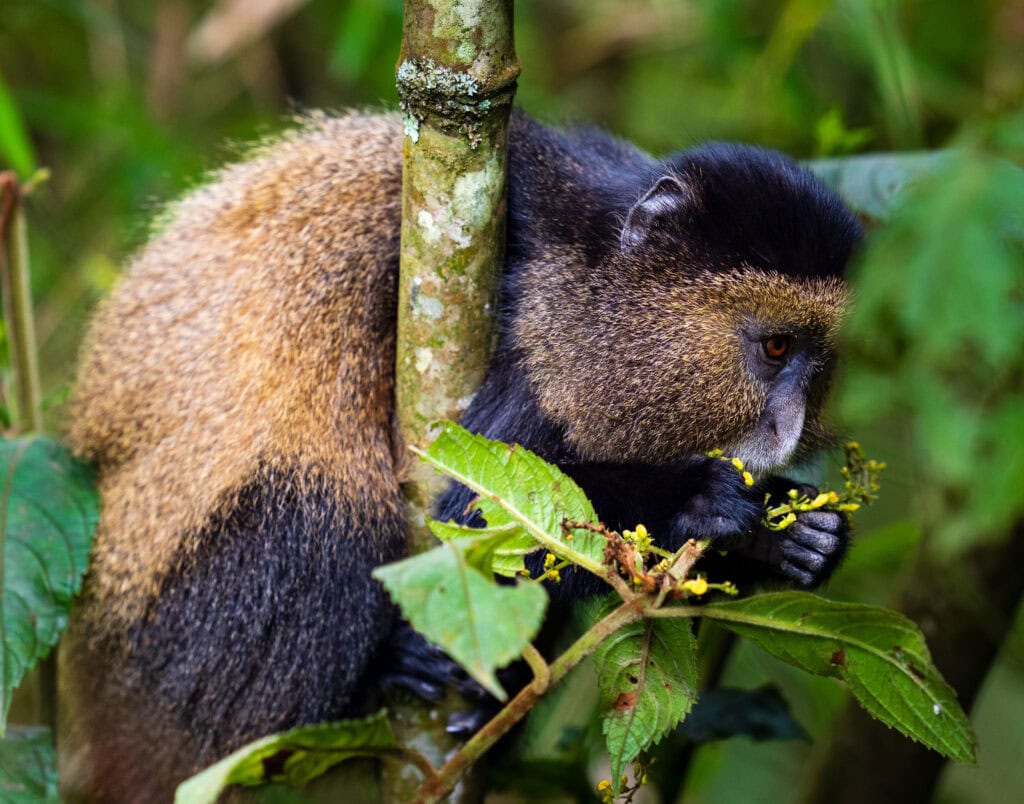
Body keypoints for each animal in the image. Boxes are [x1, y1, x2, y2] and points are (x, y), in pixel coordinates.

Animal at [62, 109, 862, 801]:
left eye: (817, 363)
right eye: (776, 348)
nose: (787, 430)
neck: (593, 263)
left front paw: (794, 535)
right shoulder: (538, 342)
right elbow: (475, 518)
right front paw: (704, 504)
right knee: (312, 505)